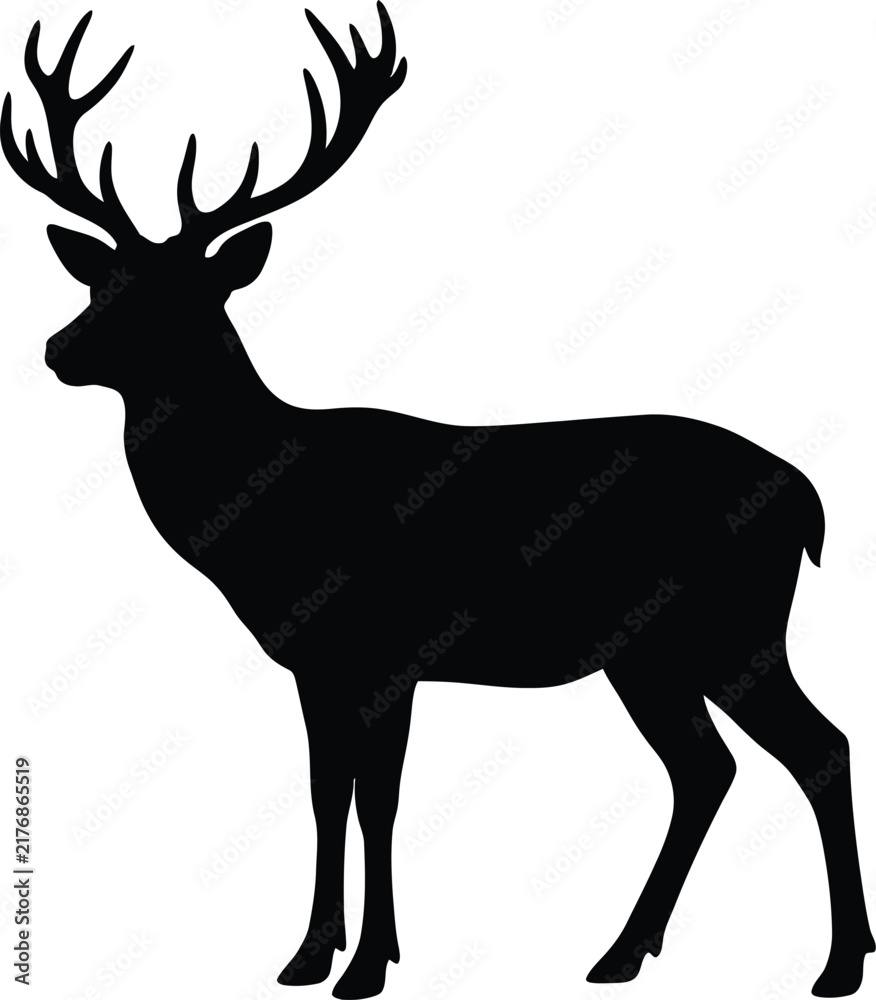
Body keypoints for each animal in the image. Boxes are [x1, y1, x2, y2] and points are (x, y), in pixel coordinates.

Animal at [3, 6, 873, 999]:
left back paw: (836, 964)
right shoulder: (316, 664)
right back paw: (621, 953)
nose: (57, 348)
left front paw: (368, 965)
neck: (264, 516)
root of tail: (808, 498)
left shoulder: (388, 649)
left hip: (734, 626)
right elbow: (324, 795)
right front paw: (306, 956)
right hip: (651, 654)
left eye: (184, 296)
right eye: (102, 280)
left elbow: (378, 802)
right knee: (707, 768)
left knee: (818, 747)